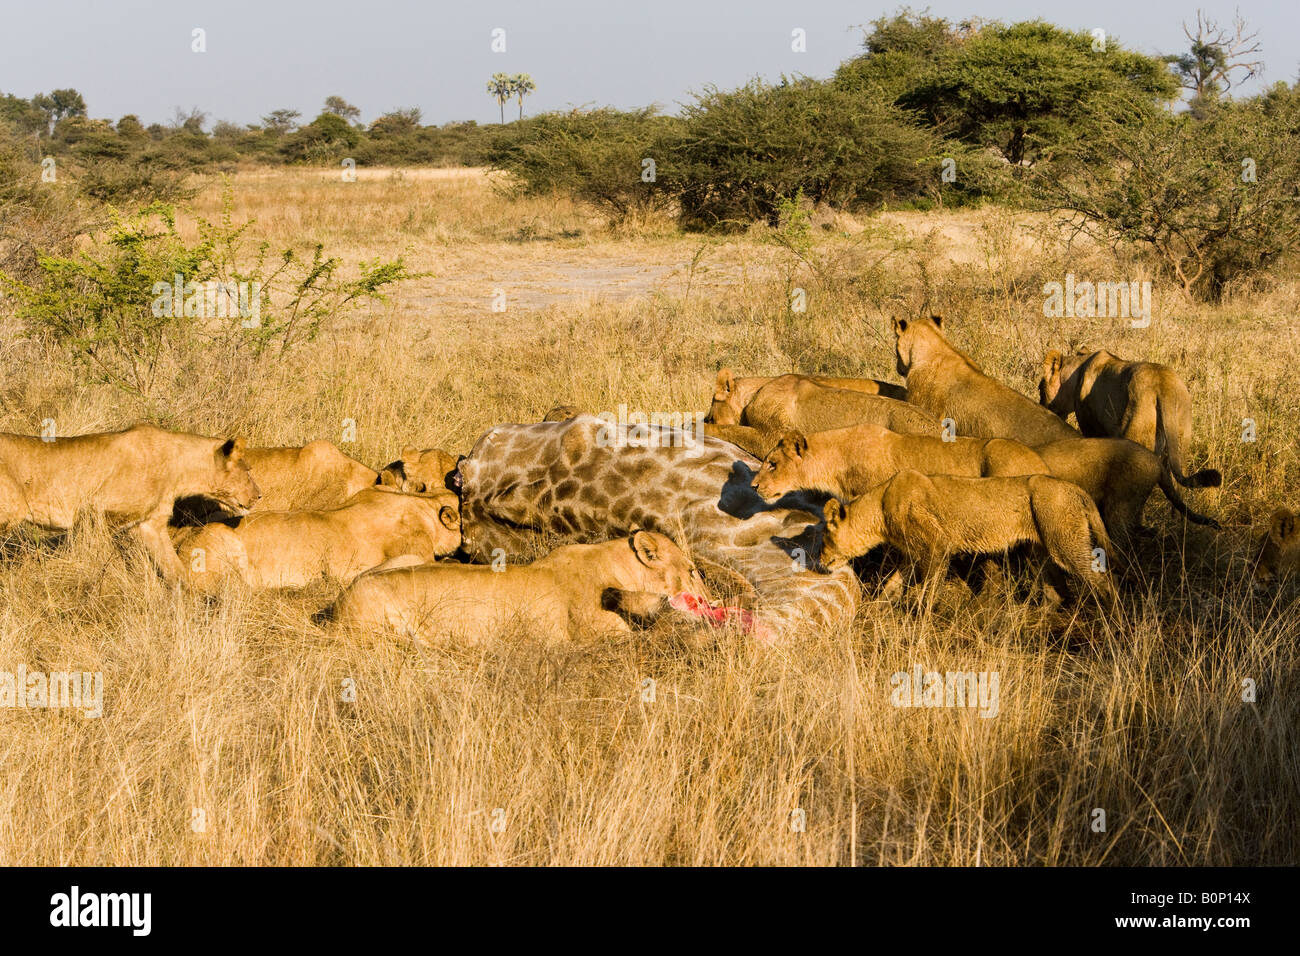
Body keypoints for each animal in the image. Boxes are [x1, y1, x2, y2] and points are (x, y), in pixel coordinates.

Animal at [0, 424, 259, 580]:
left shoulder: (149, 525)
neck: (180, 471)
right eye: (248, 471)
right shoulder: (97, 514)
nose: (259, 496)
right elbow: (95, 557)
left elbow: (174, 568)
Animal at [820, 469, 1117, 609]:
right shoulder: (913, 554)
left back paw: (1113, 620)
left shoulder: (937, 545)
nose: (820, 560)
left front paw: (921, 615)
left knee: (1101, 579)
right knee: (1056, 593)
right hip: (1038, 550)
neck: (879, 506)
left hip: (1064, 543)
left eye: (825, 536)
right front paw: (877, 605)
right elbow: (893, 582)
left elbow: (929, 586)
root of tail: (1075, 488)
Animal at [1039, 346, 1221, 489]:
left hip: (1136, 435)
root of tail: (1164, 386)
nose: (1041, 405)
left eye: (1040, 388)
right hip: (1181, 441)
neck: (1078, 371)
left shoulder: (1090, 424)